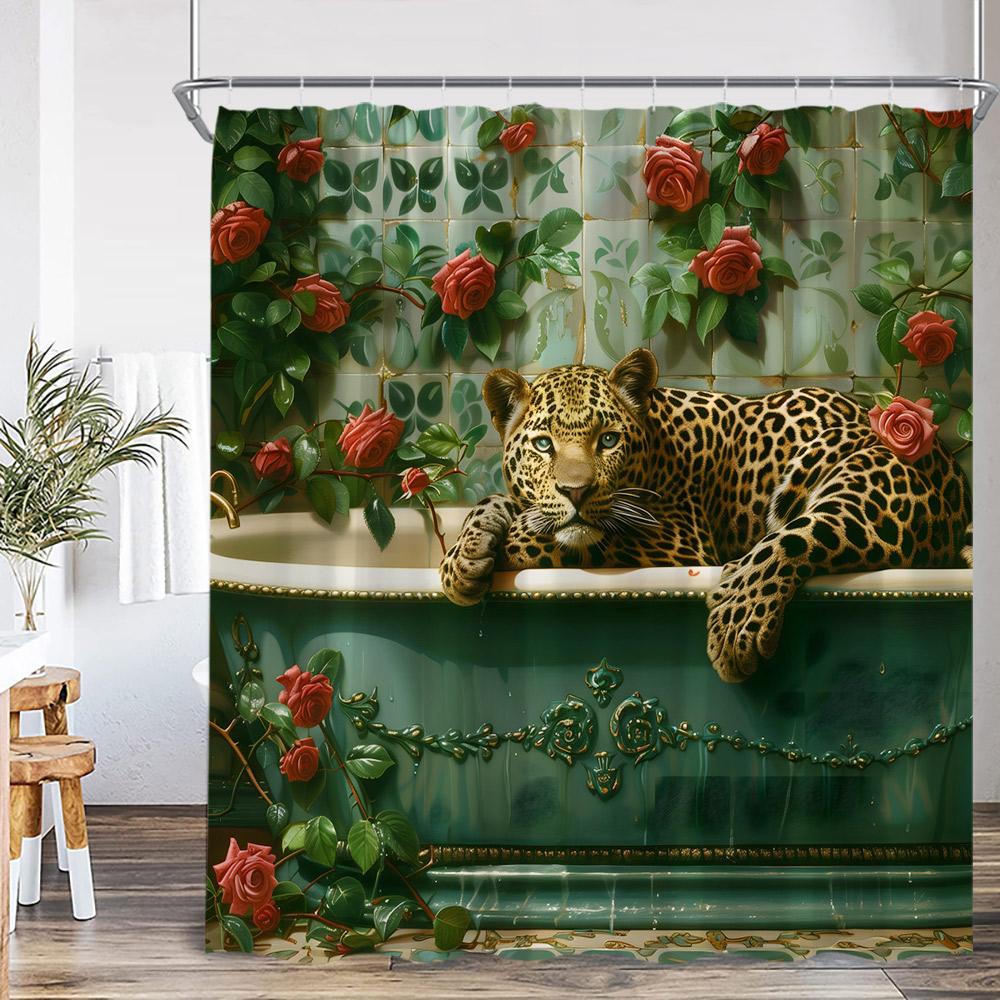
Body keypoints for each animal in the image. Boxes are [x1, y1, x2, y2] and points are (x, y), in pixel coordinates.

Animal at [439, 348, 972, 683]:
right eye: (544, 444)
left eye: (608, 440)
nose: (577, 490)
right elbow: (503, 506)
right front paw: (463, 557)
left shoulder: (676, 540)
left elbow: (556, 537)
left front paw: (501, 546)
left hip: (864, 484)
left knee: (792, 540)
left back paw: (736, 626)